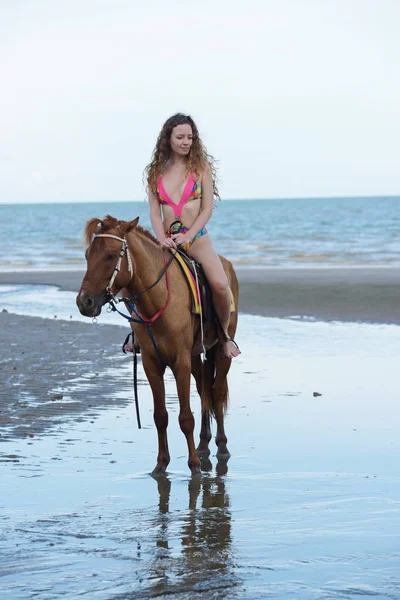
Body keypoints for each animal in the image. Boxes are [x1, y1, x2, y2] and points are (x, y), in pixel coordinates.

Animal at [77, 214, 239, 474]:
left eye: (110, 255)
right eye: (86, 255)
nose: (84, 302)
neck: (159, 298)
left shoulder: (180, 362)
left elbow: (185, 417)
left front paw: (194, 466)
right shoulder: (151, 364)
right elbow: (160, 416)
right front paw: (161, 464)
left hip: (220, 352)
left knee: (216, 391)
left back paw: (221, 447)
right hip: (196, 356)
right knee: (204, 390)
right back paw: (203, 445)